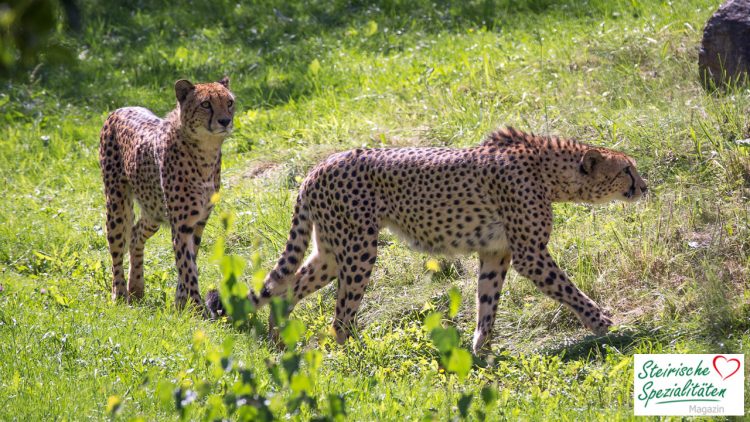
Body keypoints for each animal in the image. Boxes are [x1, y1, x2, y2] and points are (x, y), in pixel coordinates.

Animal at [100, 77, 235, 312]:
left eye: (229, 102)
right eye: (206, 104)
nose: (225, 121)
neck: (205, 152)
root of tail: (119, 109)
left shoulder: (198, 221)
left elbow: (189, 261)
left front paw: (181, 304)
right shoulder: (182, 224)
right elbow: (187, 267)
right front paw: (197, 308)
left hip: (154, 210)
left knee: (135, 234)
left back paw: (136, 288)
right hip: (117, 204)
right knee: (116, 247)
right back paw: (120, 294)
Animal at [209, 127, 648, 354]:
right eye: (627, 170)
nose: (645, 186)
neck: (549, 171)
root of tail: (317, 167)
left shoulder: (496, 252)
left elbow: (487, 302)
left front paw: (481, 351)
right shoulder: (529, 253)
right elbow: (568, 289)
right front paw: (603, 322)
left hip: (331, 252)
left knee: (289, 286)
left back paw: (279, 336)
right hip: (359, 249)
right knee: (340, 315)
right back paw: (361, 355)